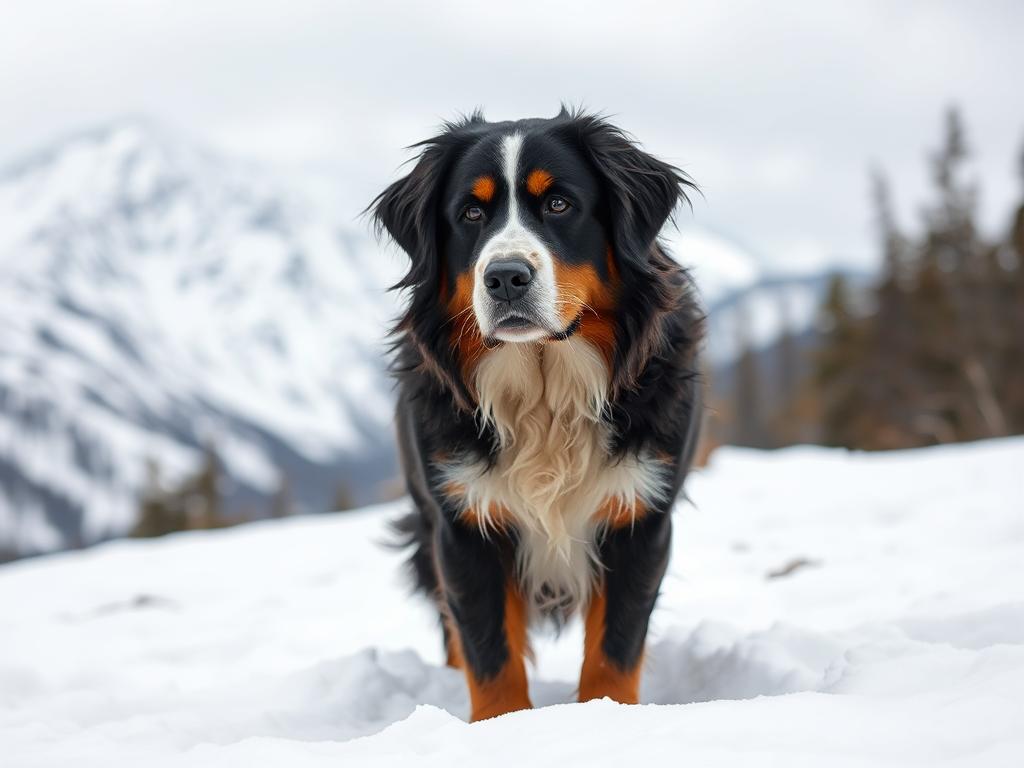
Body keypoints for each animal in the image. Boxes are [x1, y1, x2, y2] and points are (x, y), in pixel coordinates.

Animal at [374, 107, 704, 720]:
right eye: (470, 213)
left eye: (558, 204)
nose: (505, 277)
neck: (546, 391)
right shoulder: (463, 523)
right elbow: (489, 654)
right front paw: (501, 725)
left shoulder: (640, 515)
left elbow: (614, 649)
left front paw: (606, 713)